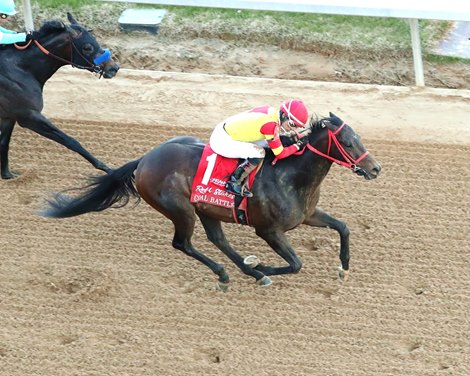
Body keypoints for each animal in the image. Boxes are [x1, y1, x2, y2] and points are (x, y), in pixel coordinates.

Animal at [0, 12, 119, 180]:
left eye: (96, 40)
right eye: (87, 47)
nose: (113, 68)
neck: (21, 69)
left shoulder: (9, 116)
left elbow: (4, 143)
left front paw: (7, 175)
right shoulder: (28, 116)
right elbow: (71, 141)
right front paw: (110, 170)